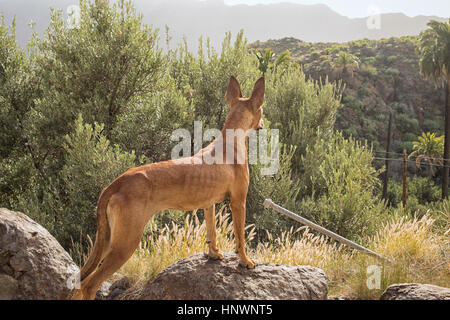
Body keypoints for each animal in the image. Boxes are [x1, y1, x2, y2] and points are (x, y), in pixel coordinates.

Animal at [70, 75, 264, 300]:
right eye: (262, 110)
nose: (263, 123)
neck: (231, 140)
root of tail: (116, 183)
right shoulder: (238, 202)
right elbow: (241, 237)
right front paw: (245, 261)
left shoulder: (209, 205)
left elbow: (212, 233)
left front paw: (214, 254)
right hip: (124, 244)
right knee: (89, 285)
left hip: (106, 239)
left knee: (79, 284)